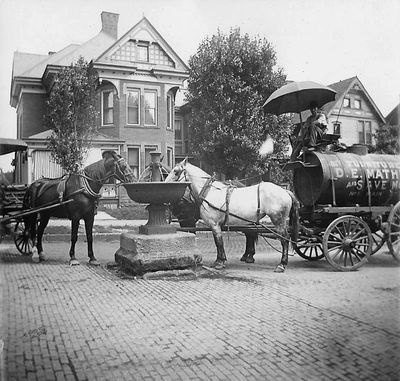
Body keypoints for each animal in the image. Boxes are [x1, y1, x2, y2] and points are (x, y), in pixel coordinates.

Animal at [164, 159, 298, 272]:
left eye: (176, 172)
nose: (164, 184)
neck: (209, 192)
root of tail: (285, 191)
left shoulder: (214, 224)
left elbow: (219, 242)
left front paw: (220, 262)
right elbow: (217, 242)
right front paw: (219, 260)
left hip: (278, 220)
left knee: (284, 239)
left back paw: (281, 264)